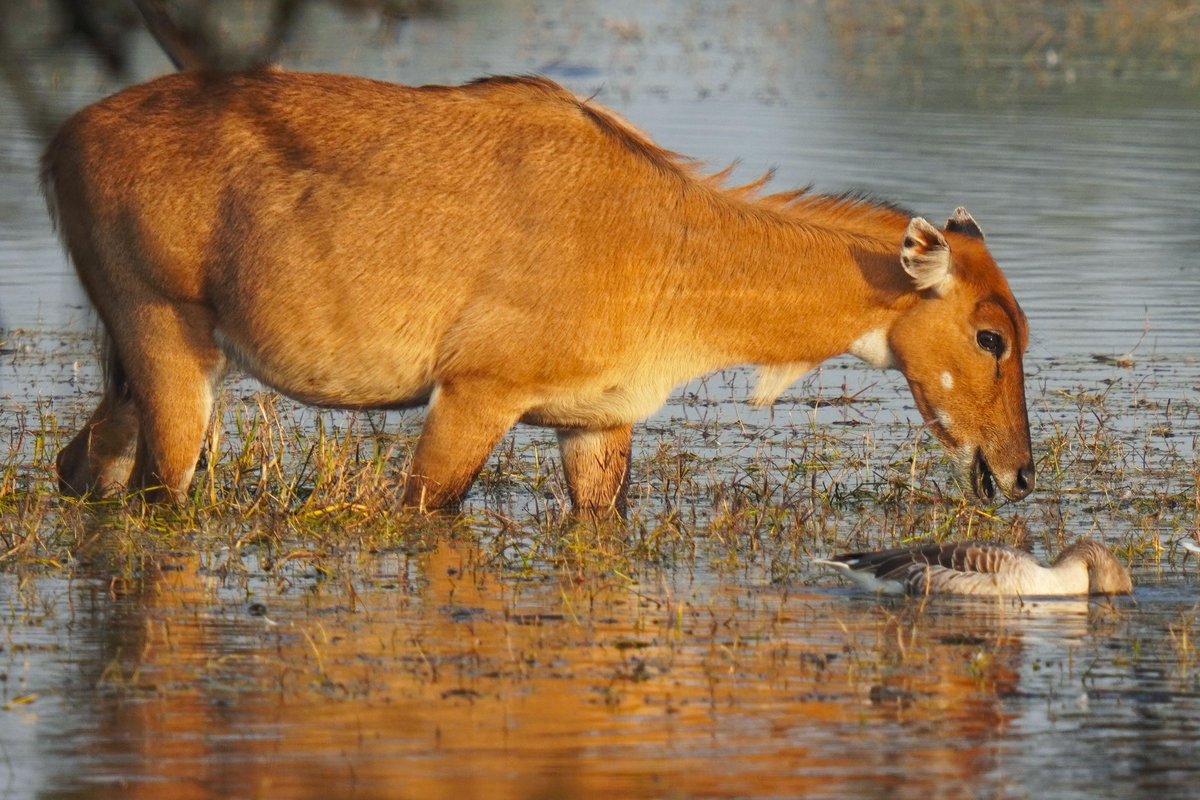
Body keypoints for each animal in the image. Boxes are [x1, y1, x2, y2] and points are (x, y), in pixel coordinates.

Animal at [43, 69, 1035, 516]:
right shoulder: (475, 397)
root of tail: (63, 137)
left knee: (76, 468)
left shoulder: (596, 423)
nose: (1021, 474)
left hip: (133, 371)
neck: (664, 234)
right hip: (170, 350)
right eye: (991, 335)